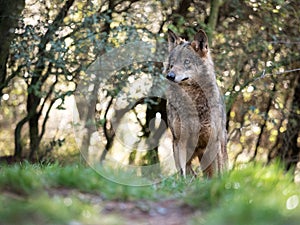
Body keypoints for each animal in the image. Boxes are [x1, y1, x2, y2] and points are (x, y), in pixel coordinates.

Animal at [164, 28, 227, 178]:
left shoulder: (213, 142)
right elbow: (182, 172)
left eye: (186, 62)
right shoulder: (179, 141)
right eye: (172, 63)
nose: (170, 75)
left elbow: (217, 174)